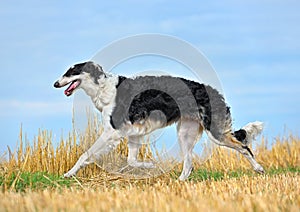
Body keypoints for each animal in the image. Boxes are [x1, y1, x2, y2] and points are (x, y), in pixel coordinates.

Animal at [54, 60, 264, 180]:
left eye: (71, 72)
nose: (55, 83)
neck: (104, 88)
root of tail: (216, 93)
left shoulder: (112, 132)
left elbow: (85, 155)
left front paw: (69, 173)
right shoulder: (133, 133)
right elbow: (131, 161)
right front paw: (149, 165)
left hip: (215, 132)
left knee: (244, 147)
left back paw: (259, 168)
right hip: (185, 133)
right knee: (189, 163)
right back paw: (179, 181)